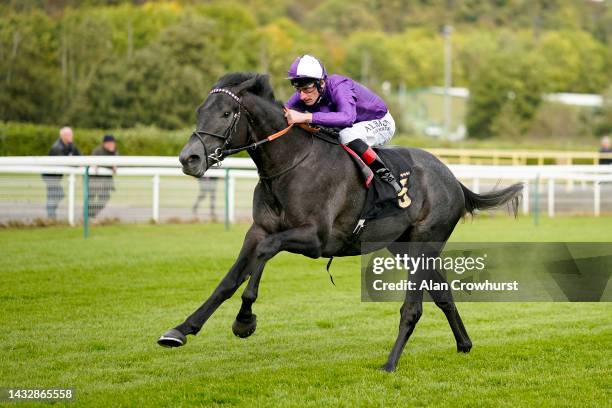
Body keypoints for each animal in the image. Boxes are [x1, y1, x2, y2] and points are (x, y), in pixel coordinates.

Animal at [159, 71, 520, 372]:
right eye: (199, 111)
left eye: (225, 114)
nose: (189, 158)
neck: (289, 164)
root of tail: (454, 180)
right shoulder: (259, 229)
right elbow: (231, 278)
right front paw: (181, 330)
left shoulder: (315, 239)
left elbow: (265, 251)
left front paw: (245, 319)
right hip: (403, 246)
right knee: (442, 293)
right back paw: (464, 344)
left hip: (423, 244)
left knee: (413, 308)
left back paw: (390, 364)